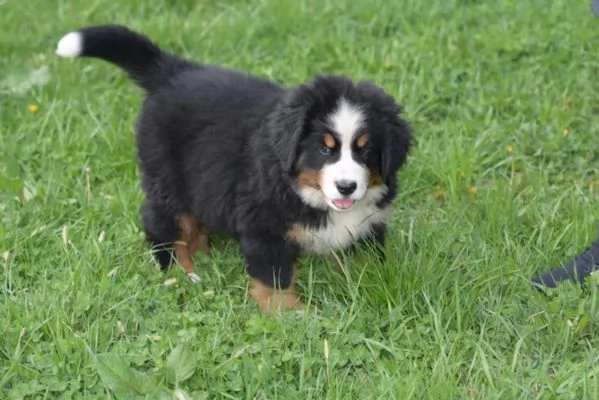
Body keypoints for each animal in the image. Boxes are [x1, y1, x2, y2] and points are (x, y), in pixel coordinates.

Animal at [55, 25, 412, 314]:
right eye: (325, 148)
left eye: (365, 150)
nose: (347, 187)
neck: (306, 193)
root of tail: (174, 72)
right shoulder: (263, 225)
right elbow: (275, 276)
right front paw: (289, 314)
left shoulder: (367, 224)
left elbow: (365, 260)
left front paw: (371, 285)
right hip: (168, 181)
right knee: (162, 226)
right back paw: (183, 274)